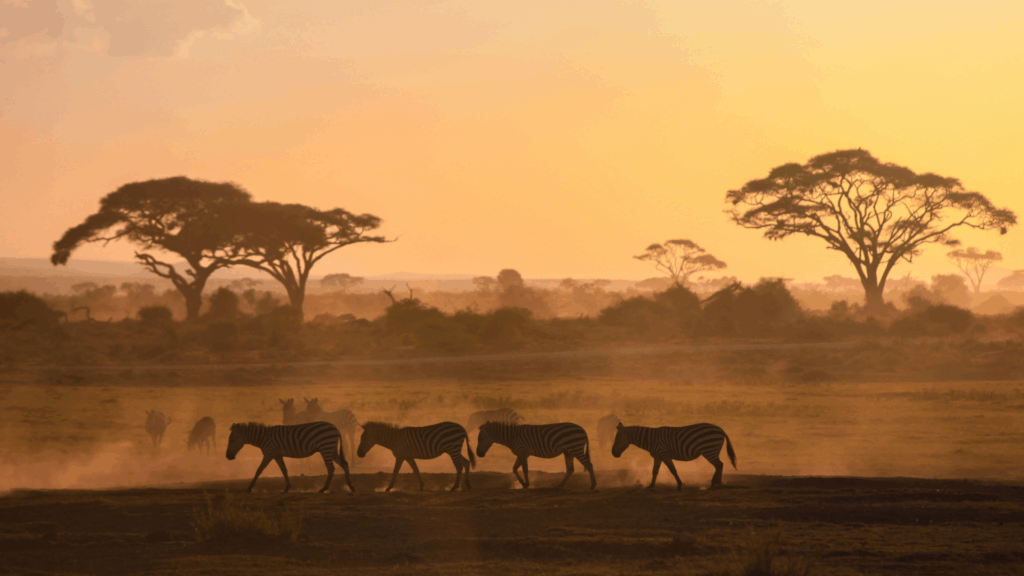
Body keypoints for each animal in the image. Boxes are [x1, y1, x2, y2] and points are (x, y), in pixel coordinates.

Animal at [226, 421, 355, 494]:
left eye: (232, 440)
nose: (228, 456)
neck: (263, 438)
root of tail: (335, 428)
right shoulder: (277, 455)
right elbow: (284, 470)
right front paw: (287, 488)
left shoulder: (269, 453)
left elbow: (259, 470)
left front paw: (249, 488)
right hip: (331, 449)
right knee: (344, 464)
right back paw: (351, 487)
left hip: (326, 448)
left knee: (331, 468)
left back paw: (324, 489)